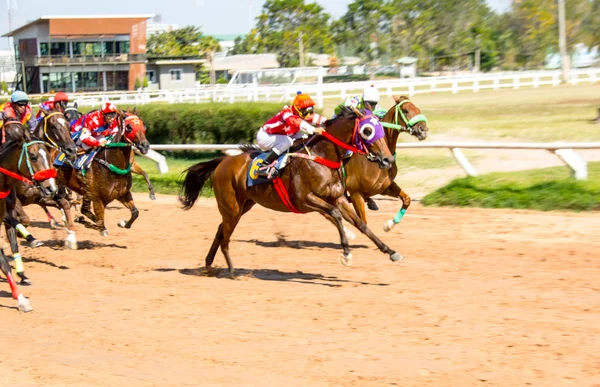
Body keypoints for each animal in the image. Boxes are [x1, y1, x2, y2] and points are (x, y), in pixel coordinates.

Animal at [178, 107, 404, 274]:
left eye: (381, 129)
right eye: (368, 131)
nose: (387, 160)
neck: (321, 156)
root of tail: (222, 162)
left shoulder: (338, 197)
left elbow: (361, 224)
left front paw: (390, 251)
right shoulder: (304, 200)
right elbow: (336, 215)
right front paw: (346, 253)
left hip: (242, 206)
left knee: (220, 230)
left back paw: (209, 265)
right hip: (232, 207)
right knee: (225, 235)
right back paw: (232, 269)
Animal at [342, 95, 432, 232]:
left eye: (417, 109)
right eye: (405, 110)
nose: (423, 130)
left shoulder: (384, 187)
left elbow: (407, 199)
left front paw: (389, 224)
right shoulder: (355, 192)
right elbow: (362, 222)